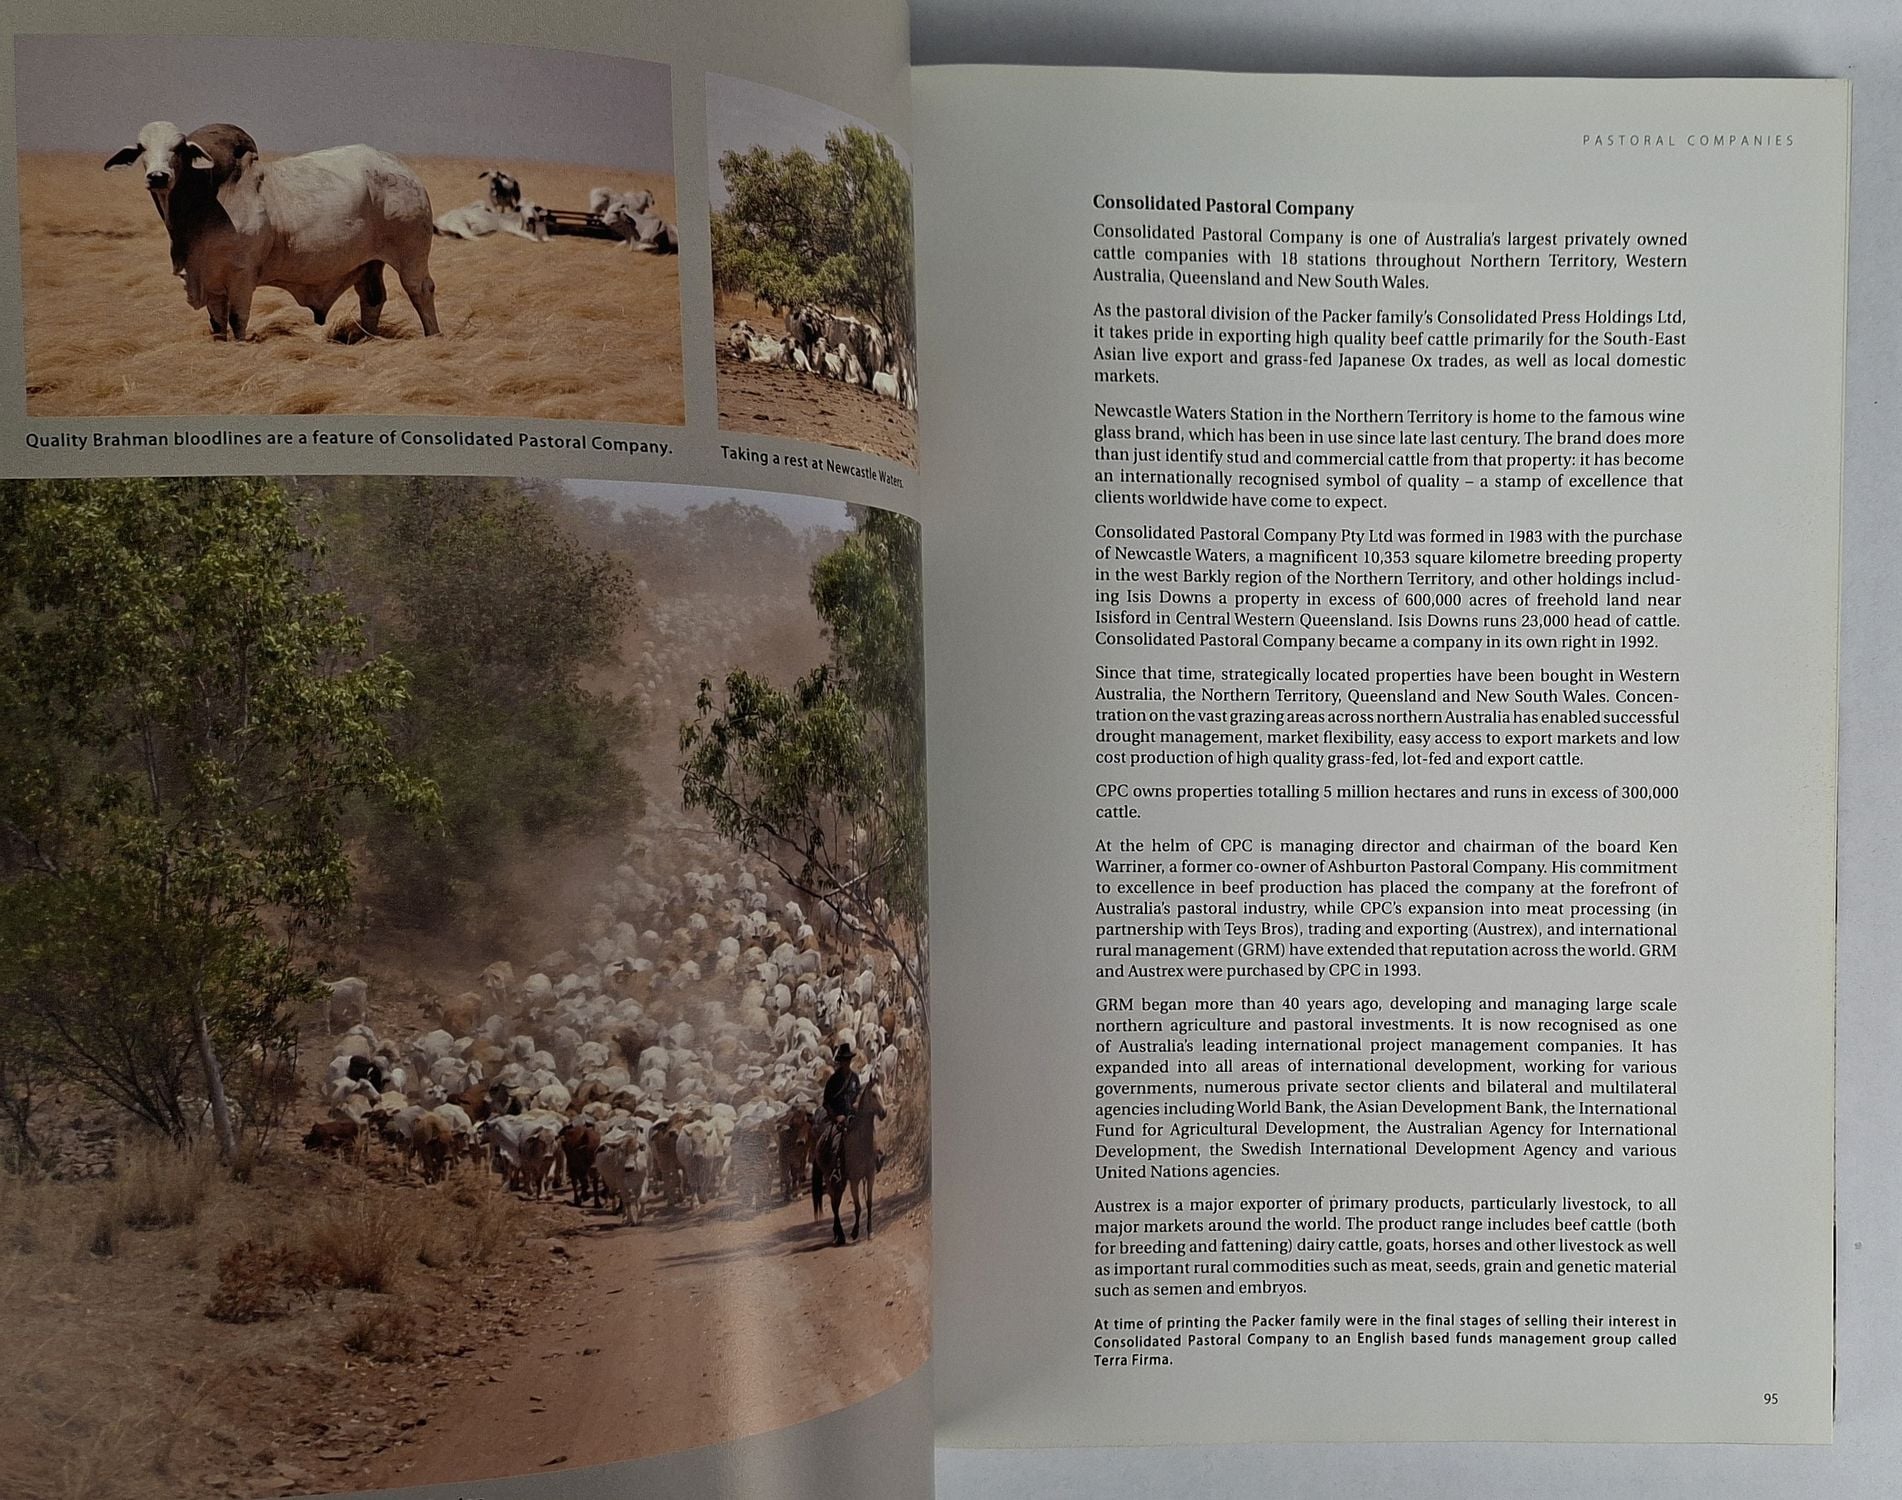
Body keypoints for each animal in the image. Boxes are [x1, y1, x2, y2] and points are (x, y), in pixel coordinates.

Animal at [105, 121, 441, 341]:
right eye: (142, 148)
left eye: (178, 148)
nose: (158, 176)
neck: (205, 202)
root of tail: (403, 170)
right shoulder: (211, 282)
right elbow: (218, 326)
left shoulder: (242, 276)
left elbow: (238, 321)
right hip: (369, 264)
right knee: (372, 299)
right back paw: (368, 340)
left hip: (411, 256)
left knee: (420, 290)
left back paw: (432, 336)